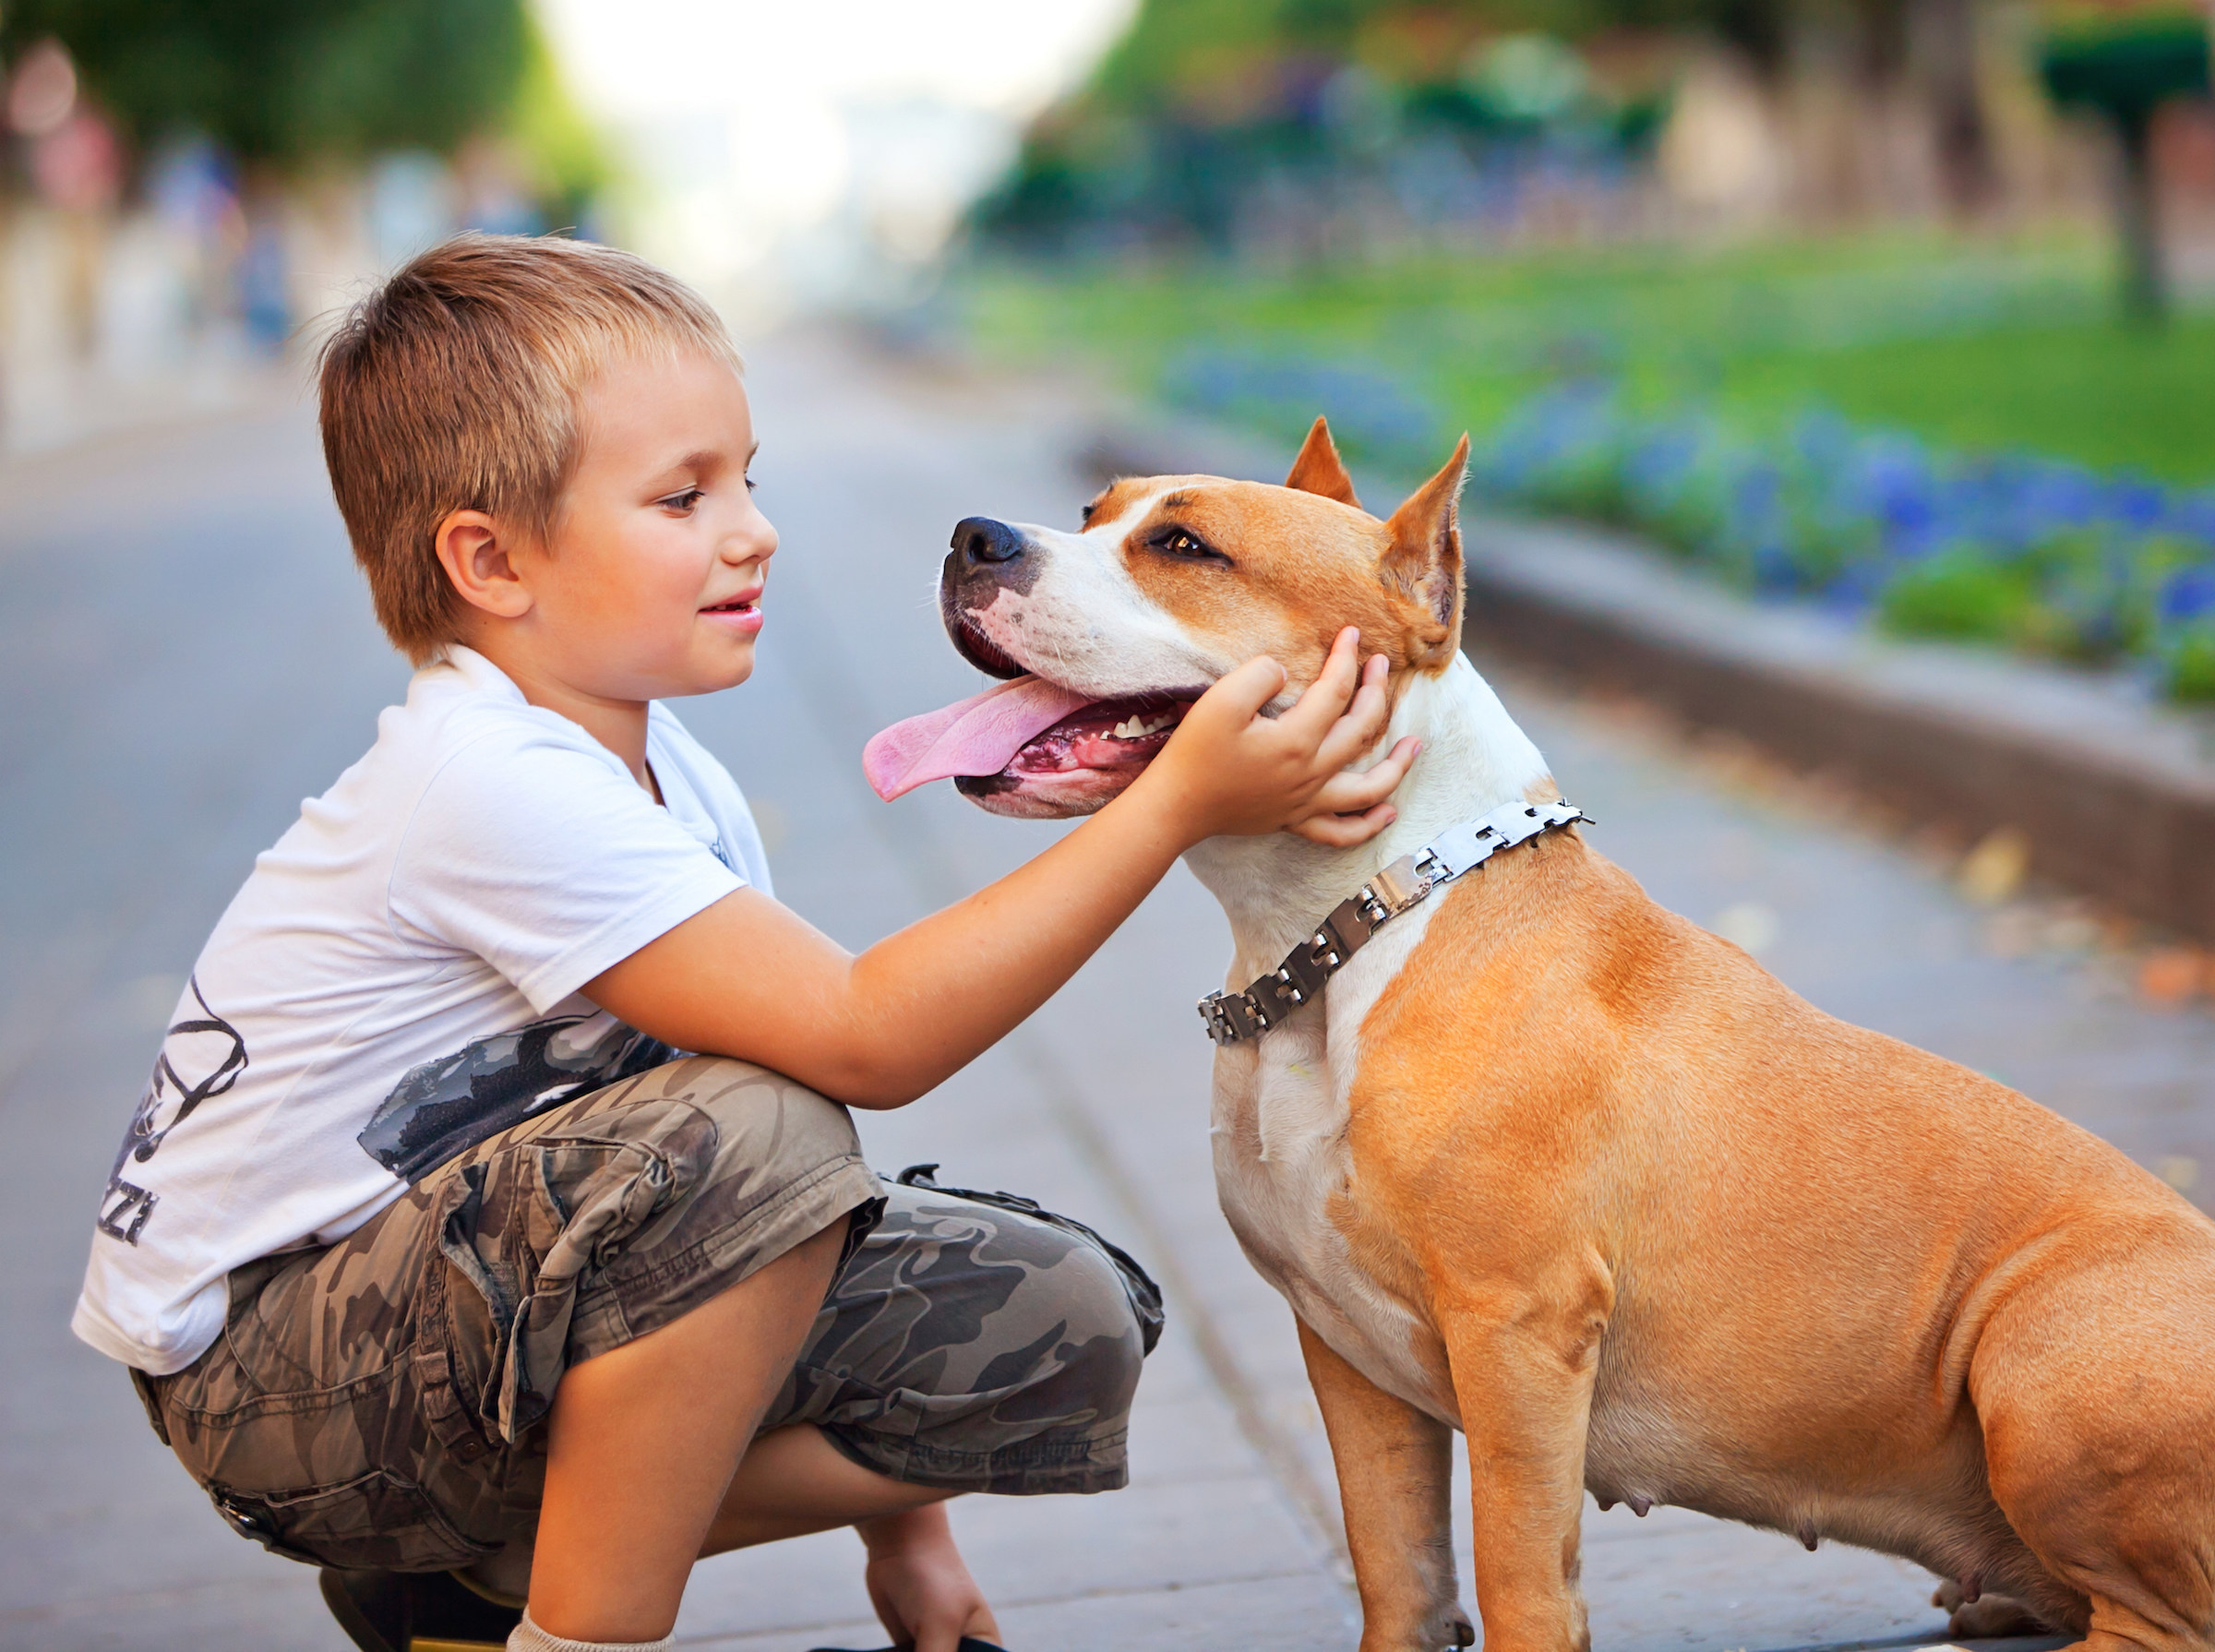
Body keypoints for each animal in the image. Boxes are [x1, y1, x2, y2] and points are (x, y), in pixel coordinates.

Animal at [859, 413, 2215, 1647]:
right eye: (1093, 510)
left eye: (1185, 546)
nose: (974, 536)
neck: (1347, 934)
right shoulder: (1344, 1348)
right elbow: (1396, 1564)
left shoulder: (1518, 1331)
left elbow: (1516, 1568)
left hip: (2042, 1352)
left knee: (2158, 1620)